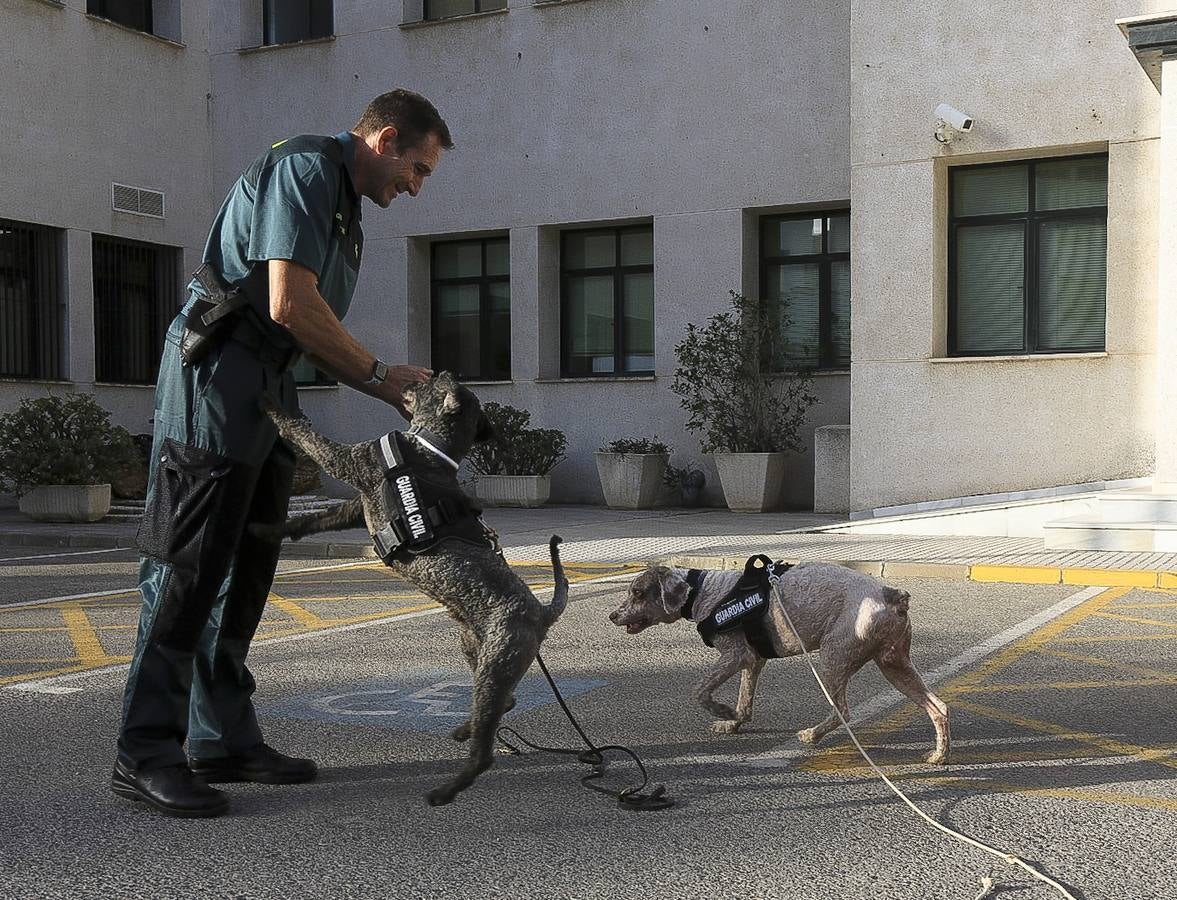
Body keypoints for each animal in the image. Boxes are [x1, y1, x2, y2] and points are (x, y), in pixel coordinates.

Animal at [254, 371, 569, 800]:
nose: (439, 371)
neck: (431, 448)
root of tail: (541, 612)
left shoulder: (350, 461)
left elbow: (306, 434)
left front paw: (271, 401)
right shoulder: (359, 505)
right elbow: (315, 520)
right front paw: (272, 529)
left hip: (496, 663)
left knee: (486, 749)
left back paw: (447, 789)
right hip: (475, 647)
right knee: (506, 702)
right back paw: (464, 728)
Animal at [612, 557, 951, 762]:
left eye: (637, 592)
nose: (612, 615)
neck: (702, 592)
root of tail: (892, 595)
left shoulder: (736, 655)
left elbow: (699, 691)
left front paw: (722, 711)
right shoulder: (754, 660)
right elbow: (745, 701)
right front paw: (733, 722)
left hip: (833, 656)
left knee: (842, 711)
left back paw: (812, 734)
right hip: (894, 664)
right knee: (939, 708)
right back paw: (939, 756)